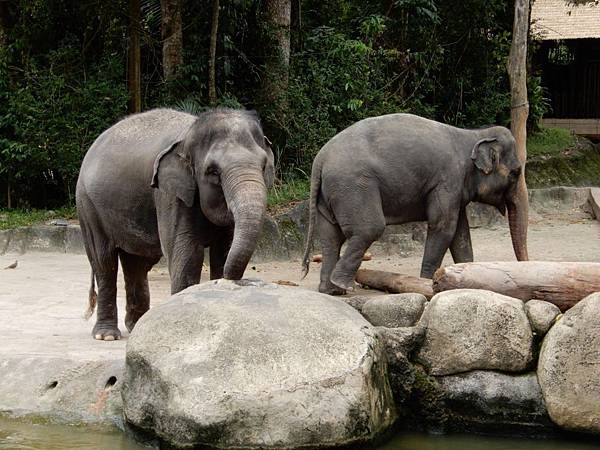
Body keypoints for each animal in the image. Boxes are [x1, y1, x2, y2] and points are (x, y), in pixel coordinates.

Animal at [77, 110, 274, 342]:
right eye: (213, 172)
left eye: (263, 166)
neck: (189, 135)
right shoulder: (169, 194)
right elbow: (187, 253)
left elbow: (223, 252)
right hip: (88, 207)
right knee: (104, 261)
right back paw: (106, 335)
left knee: (137, 262)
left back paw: (137, 326)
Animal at [302, 112, 528, 296]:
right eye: (516, 173)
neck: (473, 134)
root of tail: (320, 160)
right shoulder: (447, 181)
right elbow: (443, 227)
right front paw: (427, 283)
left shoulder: (455, 189)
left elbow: (461, 234)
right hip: (353, 187)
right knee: (369, 229)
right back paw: (343, 286)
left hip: (329, 194)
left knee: (331, 238)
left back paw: (330, 290)